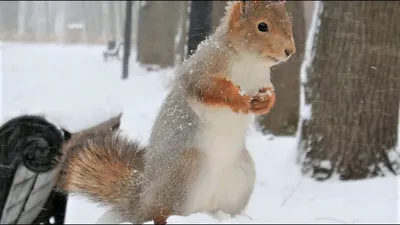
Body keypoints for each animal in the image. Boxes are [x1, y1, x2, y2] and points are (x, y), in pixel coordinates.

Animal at [56, 0, 296, 224]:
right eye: (262, 26)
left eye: (288, 20)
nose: (290, 51)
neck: (249, 61)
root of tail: (143, 200)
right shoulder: (203, 68)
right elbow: (210, 89)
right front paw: (239, 99)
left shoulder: (262, 80)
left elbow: (270, 94)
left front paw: (264, 101)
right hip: (187, 171)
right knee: (161, 213)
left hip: (243, 178)